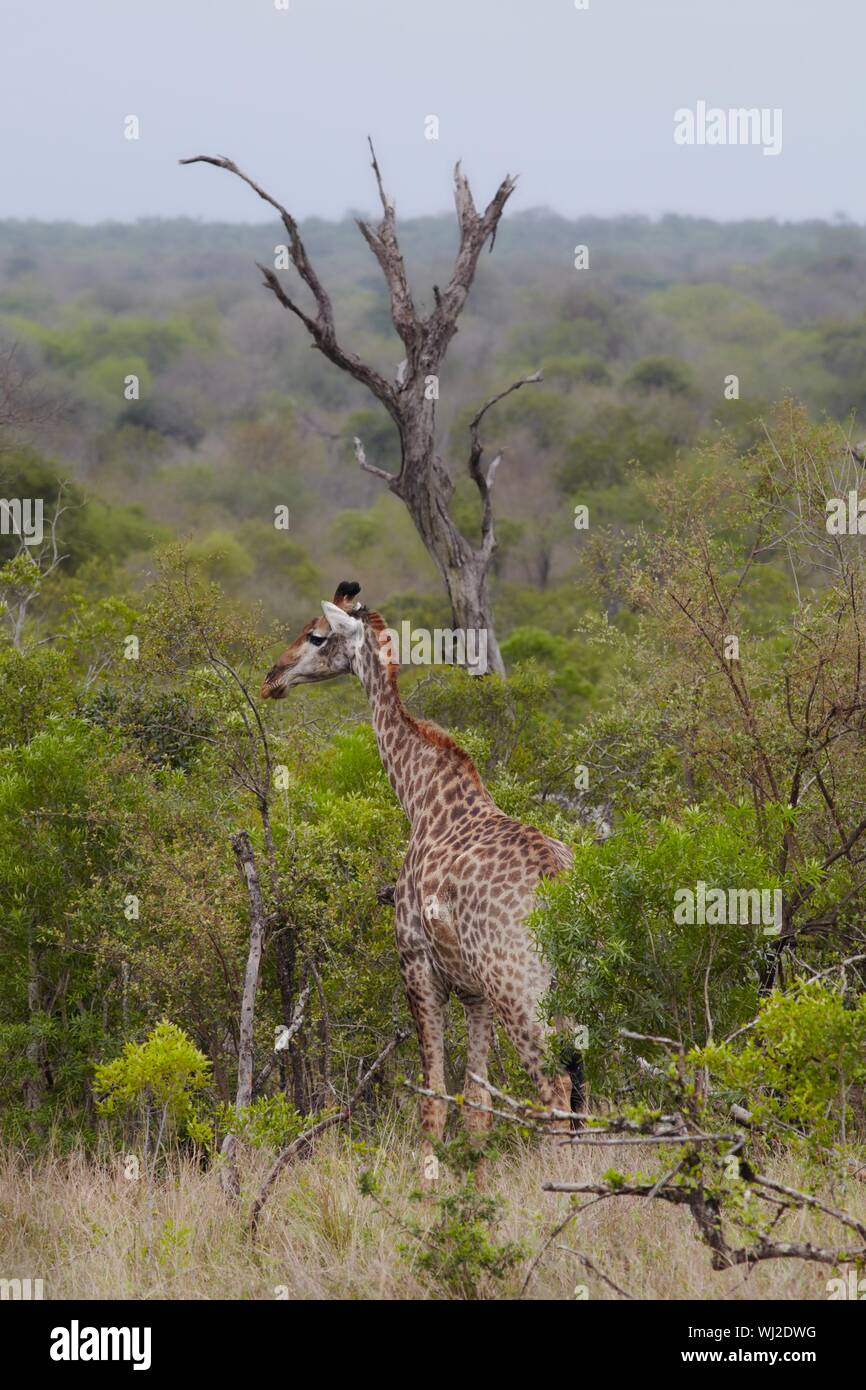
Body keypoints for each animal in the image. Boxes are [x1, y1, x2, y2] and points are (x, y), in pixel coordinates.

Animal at [261, 582, 581, 1170]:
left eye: (317, 635)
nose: (273, 676)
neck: (420, 797)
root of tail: (554, 882)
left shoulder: (416, 964)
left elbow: (433, 1099)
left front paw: (429, 1181)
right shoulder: (474, 992)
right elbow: (476, 1102)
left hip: (518, 986)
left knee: (553, 1089)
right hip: (555, 988)